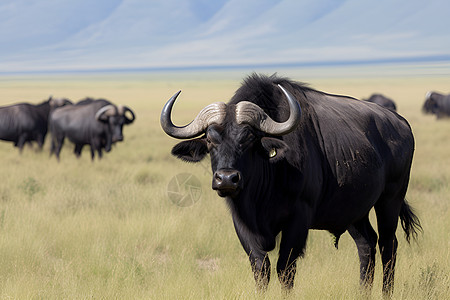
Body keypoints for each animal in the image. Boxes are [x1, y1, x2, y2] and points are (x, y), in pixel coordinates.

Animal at [162, 74, 422, 296]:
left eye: (249, 138)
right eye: (209, 139)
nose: (226, 179)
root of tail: (401, 123)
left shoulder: (299, 219)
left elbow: (284, 269)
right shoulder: (242, 224)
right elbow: (261, 268)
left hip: (391, 199)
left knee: (388, 245)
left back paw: (386, 292)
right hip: (354, 212)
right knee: (366, 243)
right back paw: (363, 292)